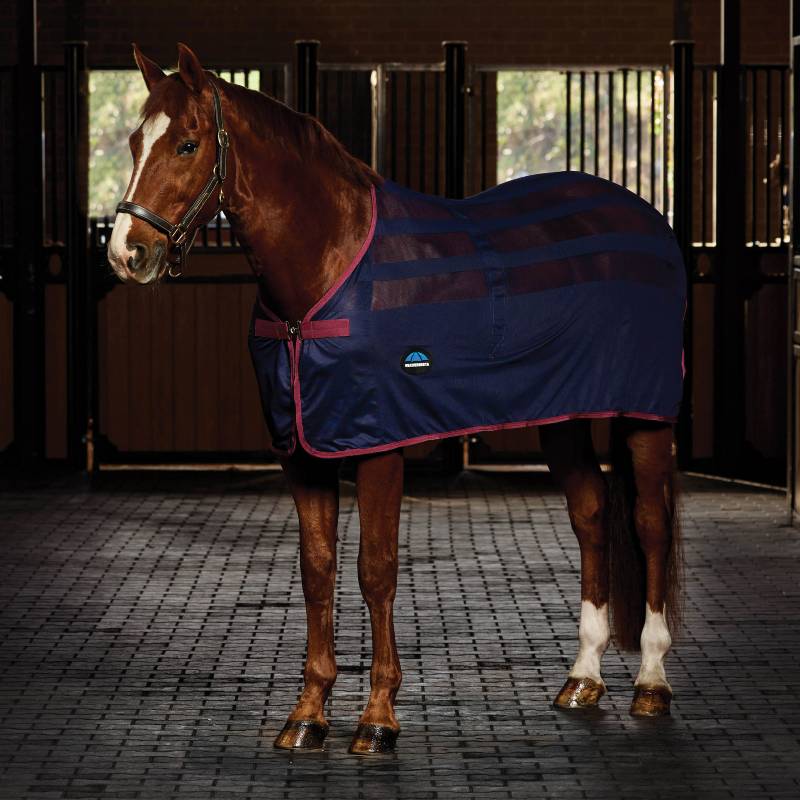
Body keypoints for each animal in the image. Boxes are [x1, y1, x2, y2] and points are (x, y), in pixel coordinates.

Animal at [107, 43, 683, 755]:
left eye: (187, 143)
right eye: (136, 142)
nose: (126, 253)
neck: (326, 265)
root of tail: (644, 217)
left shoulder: (379, 443)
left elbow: (374, 570)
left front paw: (378, 718)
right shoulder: (303, 451)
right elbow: (318, 569)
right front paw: (308, 714)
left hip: (645, 415)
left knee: (651, 525)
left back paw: (651, 682)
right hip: (565, 416)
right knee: (592, 513)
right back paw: (583, 678)